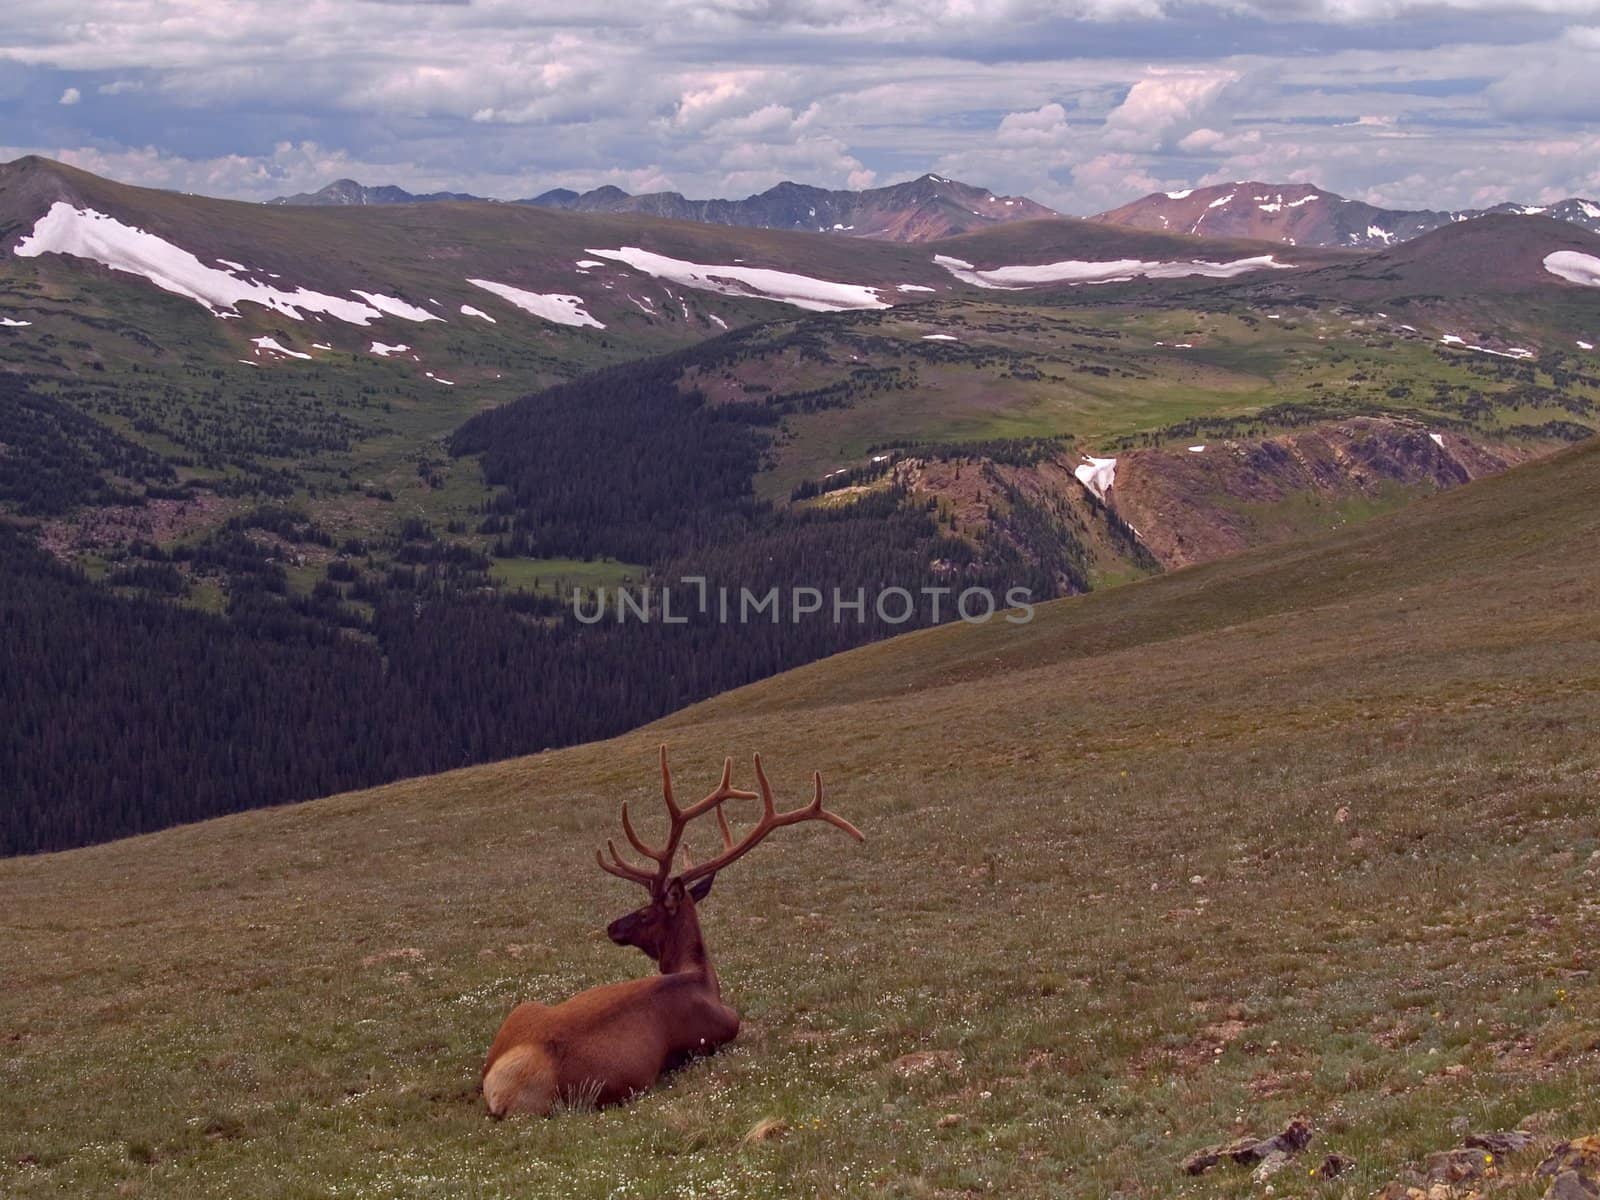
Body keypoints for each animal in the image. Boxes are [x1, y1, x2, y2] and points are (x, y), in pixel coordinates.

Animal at [480, 748, 864, 1126]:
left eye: (645, 913)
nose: (612, 926)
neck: (701, 977)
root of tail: (501, 1085)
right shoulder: (724, 1027)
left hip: (524, 1009)